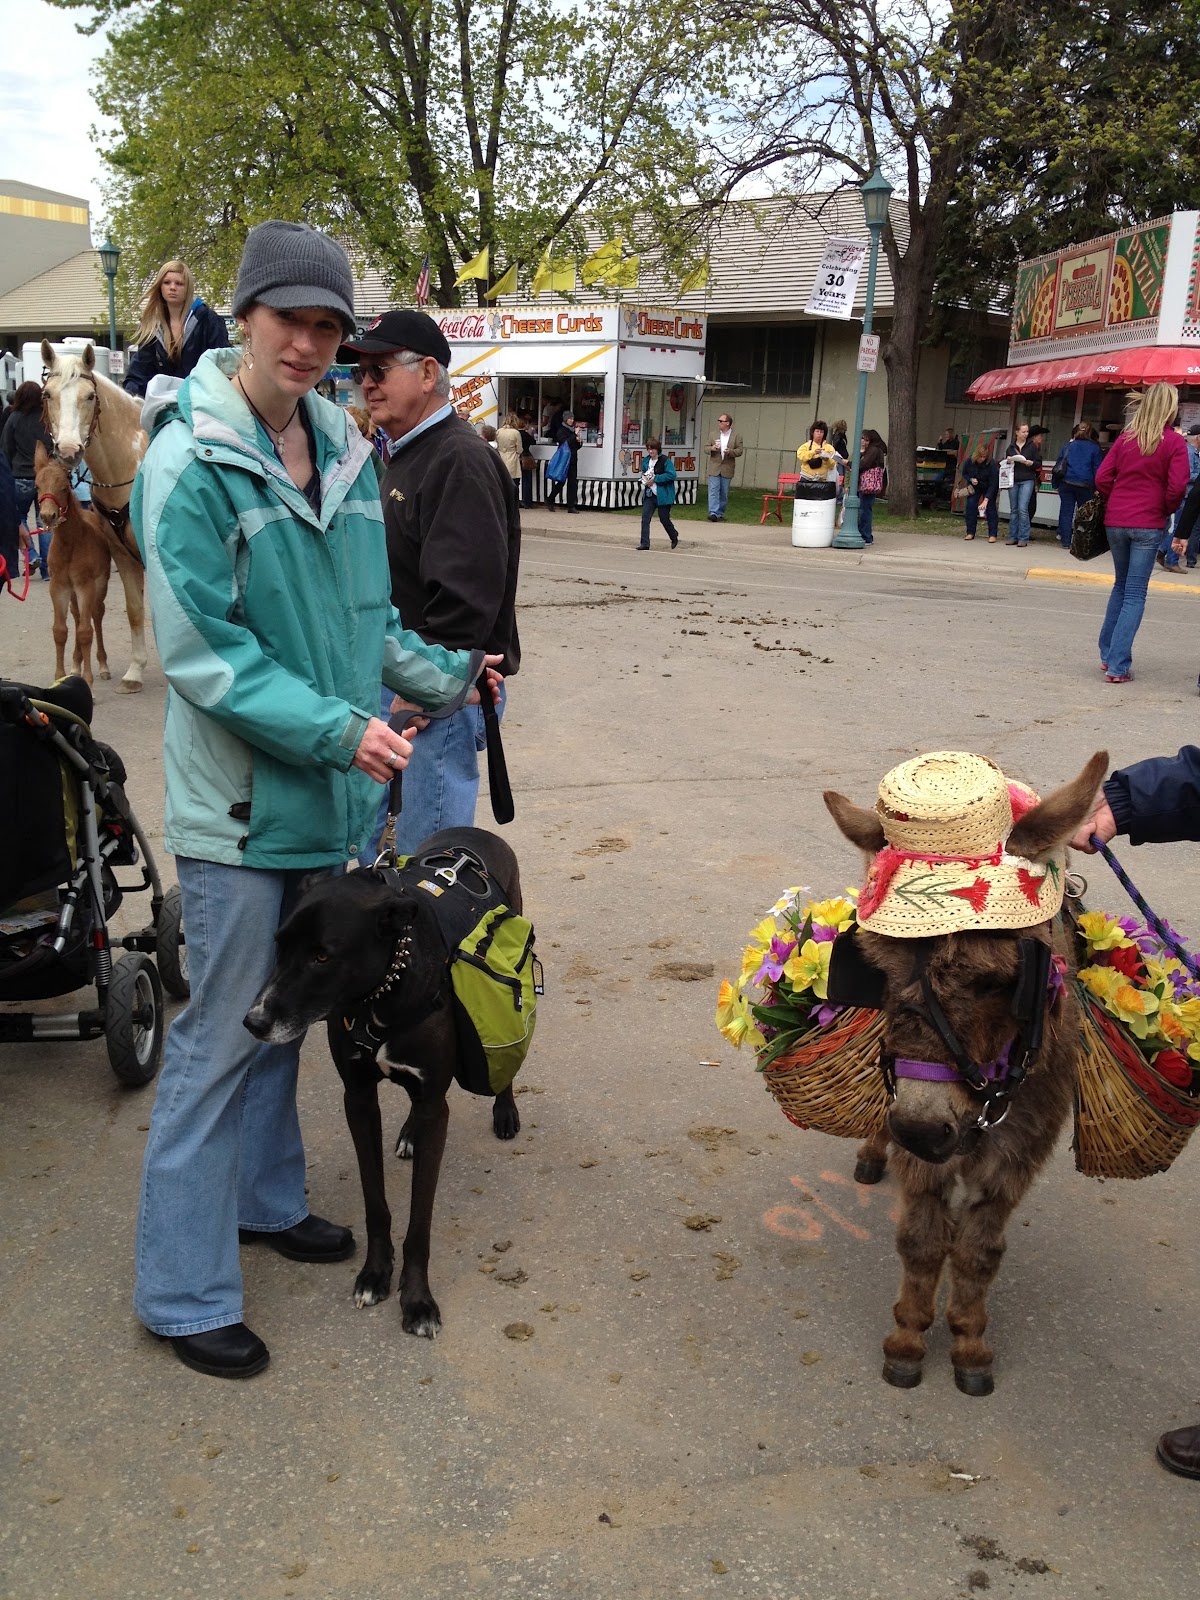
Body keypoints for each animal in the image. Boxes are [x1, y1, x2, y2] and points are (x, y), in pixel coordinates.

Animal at [34, 443, 111, 687]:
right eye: (37, 485)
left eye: (64, 487)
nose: (48, 516)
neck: (70, 545)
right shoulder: (59, 586)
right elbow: (60, 631)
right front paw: (60, 677)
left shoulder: (86, 585)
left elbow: (86, 631)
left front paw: (88, 681)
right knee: (77, 617)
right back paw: (76, 664)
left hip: (99, 584)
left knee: (96, 614)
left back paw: (103, 665)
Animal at [244, 827, 522, 1338]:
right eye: (279, 946)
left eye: (321, 955)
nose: (253, 1022)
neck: (380, 993)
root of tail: (476, 832)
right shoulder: (358, 1097)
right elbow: (375, 1202)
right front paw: (375, 1274)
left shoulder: (434, 1103)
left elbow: (419, 1221)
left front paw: (417, 1300)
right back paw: (410, 1133)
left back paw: (505, 1110)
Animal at [823, 751, 1107, 1396]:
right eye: (875, 971)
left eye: (999, 981)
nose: (919, 1132)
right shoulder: (922, 1143)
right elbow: (922, 1241)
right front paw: (907, 1339)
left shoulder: (1020, 1147)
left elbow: (980, 1250)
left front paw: (970, 1344)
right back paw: (873, 1152)